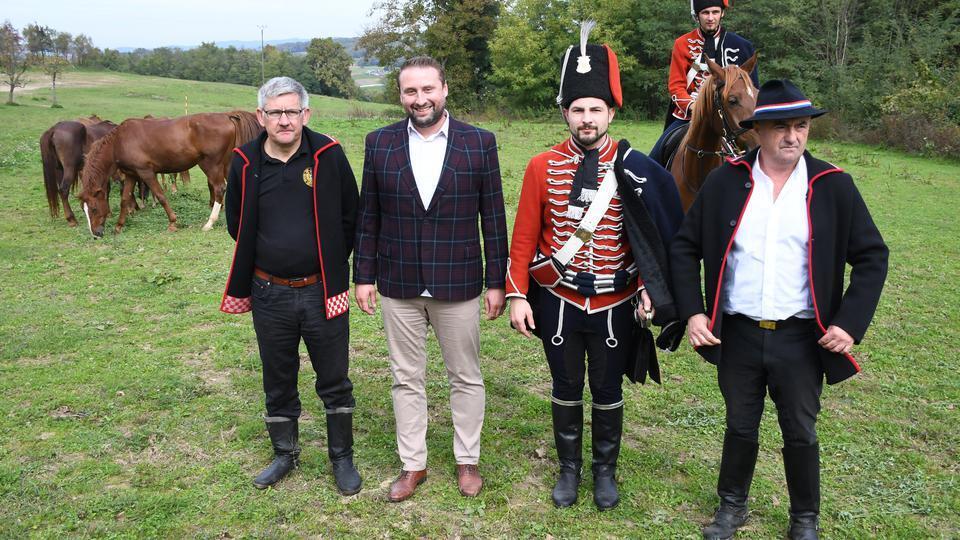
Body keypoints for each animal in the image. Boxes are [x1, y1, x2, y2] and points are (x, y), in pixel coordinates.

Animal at [77, 110, 260, 235]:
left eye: (93, 208)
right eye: (83, 209)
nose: (96, 234)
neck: (119, 141)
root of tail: (227, 116)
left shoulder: (146, 172)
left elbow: (161, 196)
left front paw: (172, 222)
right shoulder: (131, 174)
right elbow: (124, 199)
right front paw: (119, 226)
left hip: (211, 164)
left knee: (219, 188)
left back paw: (209, 223)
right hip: (227, 163)